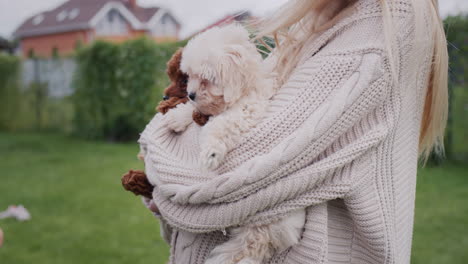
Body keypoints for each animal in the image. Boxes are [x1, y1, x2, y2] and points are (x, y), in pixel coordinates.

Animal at [163, 23, 306, 262]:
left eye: (206, 79)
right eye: (189, 77)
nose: (191, 94)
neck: (245, 87)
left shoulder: (246, 109)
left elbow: (221, 125)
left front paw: (210, 153)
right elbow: (198, 113)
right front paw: (176, 118)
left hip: (266, 222)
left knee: (251, 244)